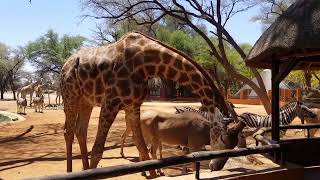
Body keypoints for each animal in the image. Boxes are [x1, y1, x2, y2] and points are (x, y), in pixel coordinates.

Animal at [59, 31, 235, 175]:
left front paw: (153, 174)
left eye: (234, 145)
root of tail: (65, 64)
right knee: (68, 132)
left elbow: (142, 147)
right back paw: (69, 172)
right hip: (70, 96)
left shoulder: (133, 106)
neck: (147, 64)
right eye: (222, 138)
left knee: (80, 131)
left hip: (86, 101)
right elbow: (97, 151)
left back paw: (84, 169)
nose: (216, 166)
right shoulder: (110, 102)